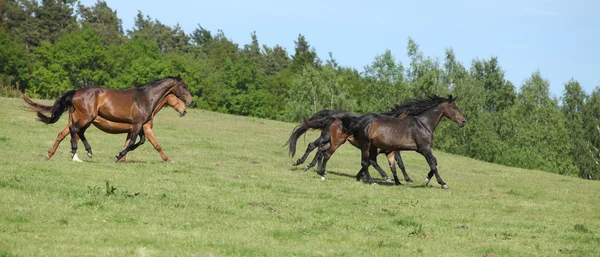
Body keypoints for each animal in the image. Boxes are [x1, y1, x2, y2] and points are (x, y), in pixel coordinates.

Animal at [28, 75, 192, 162]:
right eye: (184, 87)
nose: (190, 103)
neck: (145, 98)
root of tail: (75, 92)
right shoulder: (139, 125)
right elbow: (145, 143)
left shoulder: (138, 127)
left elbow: (136, 142)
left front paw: (120, 156)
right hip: (86, 118)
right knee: (73, 130)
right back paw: (74, 152)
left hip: (86, 120)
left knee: (72, 133)